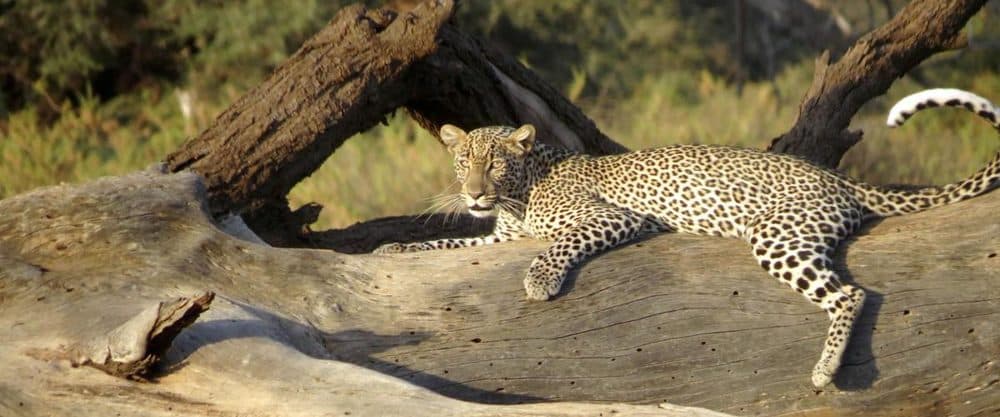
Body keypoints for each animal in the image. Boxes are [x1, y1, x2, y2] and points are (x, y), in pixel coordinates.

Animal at [374, 88, 1000, 388]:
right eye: (463, 162)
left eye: (495, 164)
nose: (473, 194)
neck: (521, 193)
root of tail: (836, 175)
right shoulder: (496, 240)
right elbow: (445, 248)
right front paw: (392, 249)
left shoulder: (615, 218)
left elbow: (560, 245)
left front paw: (540, 280)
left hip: (777, 235)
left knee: (853, 293)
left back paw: (825, 370)